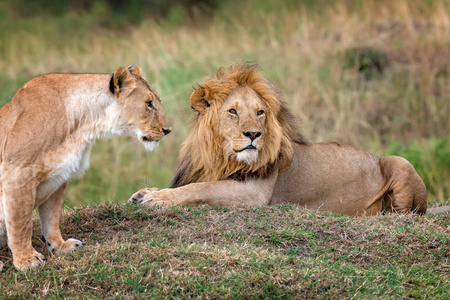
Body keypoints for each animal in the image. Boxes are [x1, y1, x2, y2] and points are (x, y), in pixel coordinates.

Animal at [0, 65, 171, 270]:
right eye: (149, 103)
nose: (168, 130)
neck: (82, 124)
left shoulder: (59, 176)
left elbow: (51, 217)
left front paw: (60, 246)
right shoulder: (18, 171)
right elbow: (21, 221)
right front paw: (26, 260)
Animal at [128, 63, 428, 217]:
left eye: (260, 112)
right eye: (233, 111)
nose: (253, 134)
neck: (220, 156)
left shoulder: (254, 193)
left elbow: (200, 189)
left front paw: (156, 199)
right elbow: (193, 185)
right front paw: (143, 192)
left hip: (398, 162)